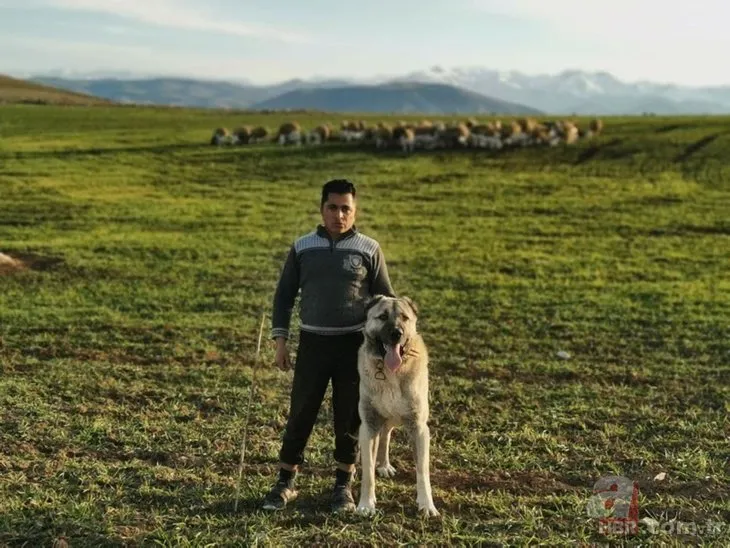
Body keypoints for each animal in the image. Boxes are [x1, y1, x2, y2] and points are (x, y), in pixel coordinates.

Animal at [354, 294, 436, 516]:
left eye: (405, 318)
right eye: (382, 317)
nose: (396, 334)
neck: (391, 373)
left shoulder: (419, 427)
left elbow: (422, 471)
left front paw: (427, 505)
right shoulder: (369, 425)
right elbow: (368, 472)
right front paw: (366, 504)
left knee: (386, 435)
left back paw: (384, 464)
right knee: (382, 438)